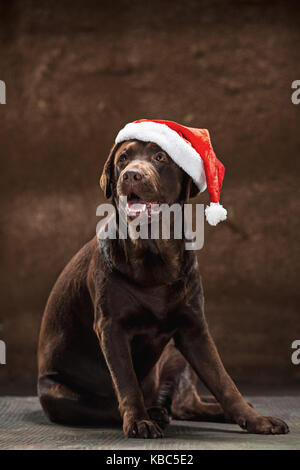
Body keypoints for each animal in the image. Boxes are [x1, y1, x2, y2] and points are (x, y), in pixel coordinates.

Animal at [37, 135, 288, 436]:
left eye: (160, 158)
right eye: (123, 158)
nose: (131, 174)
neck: (153, 253)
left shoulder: (194, 328)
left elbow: (223, 381)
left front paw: (255, 419)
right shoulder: (111, 328)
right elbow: (126, 382)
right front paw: (139, 421)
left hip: (175, 354)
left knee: (185, 405)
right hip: (58, 393)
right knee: (108, 405)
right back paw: (154, 413)